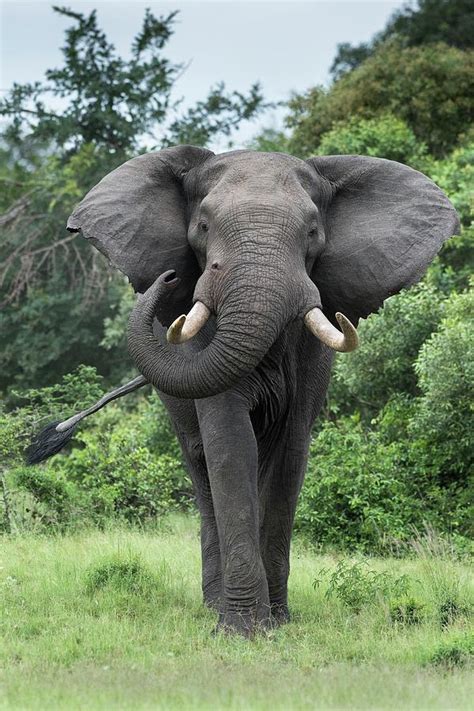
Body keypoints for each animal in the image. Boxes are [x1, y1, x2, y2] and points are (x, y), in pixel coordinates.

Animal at [27, 147, 458, 636]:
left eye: (313, 232)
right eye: (203, 226)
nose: (168, 278)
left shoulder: (310, 360)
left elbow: (289, 454)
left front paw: (278, 622)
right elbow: (229, 443)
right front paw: (243, 631)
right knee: (201, 468)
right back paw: (214, 604)